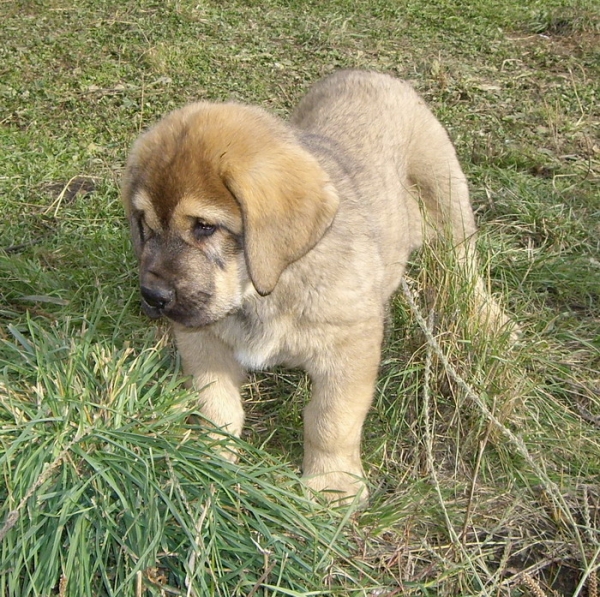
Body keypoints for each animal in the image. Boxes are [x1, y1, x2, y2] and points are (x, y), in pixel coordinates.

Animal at [122, 71, 510, 502]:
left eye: (205, 227)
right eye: (144, 225)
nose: (153, 297)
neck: (261, 292)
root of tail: (368, 73)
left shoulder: (348, 351)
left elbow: (330, 421)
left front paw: (332, 484)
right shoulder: (201, 340)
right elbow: (215, 404)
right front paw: (208, 458)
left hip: (447, 196)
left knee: (466, 266)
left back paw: (490, 320)